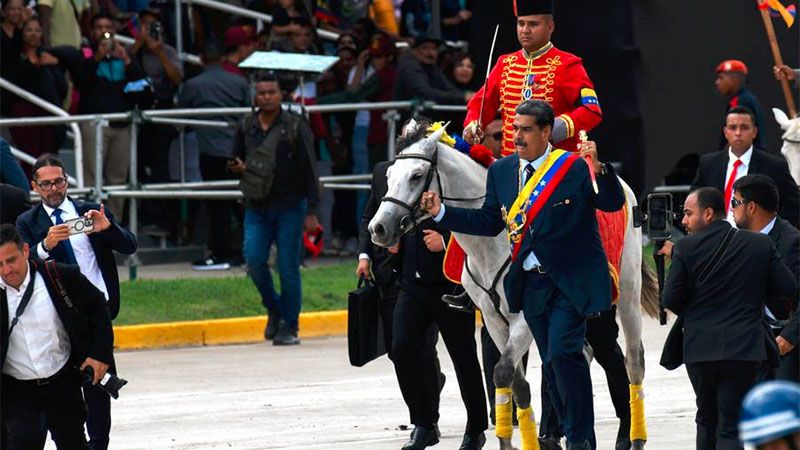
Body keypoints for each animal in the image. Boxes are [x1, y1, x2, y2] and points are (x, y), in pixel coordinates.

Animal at [368, 120, 656, 450]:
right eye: (388, 176)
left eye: (416, 175)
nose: (378, 228)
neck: (490, 242)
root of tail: (623, 185)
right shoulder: (493, 318)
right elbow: (517, 384)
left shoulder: (524, 317)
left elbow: (503, 371)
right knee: (577, 356)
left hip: (626, 295)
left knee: (631, 359)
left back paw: (632, 436)